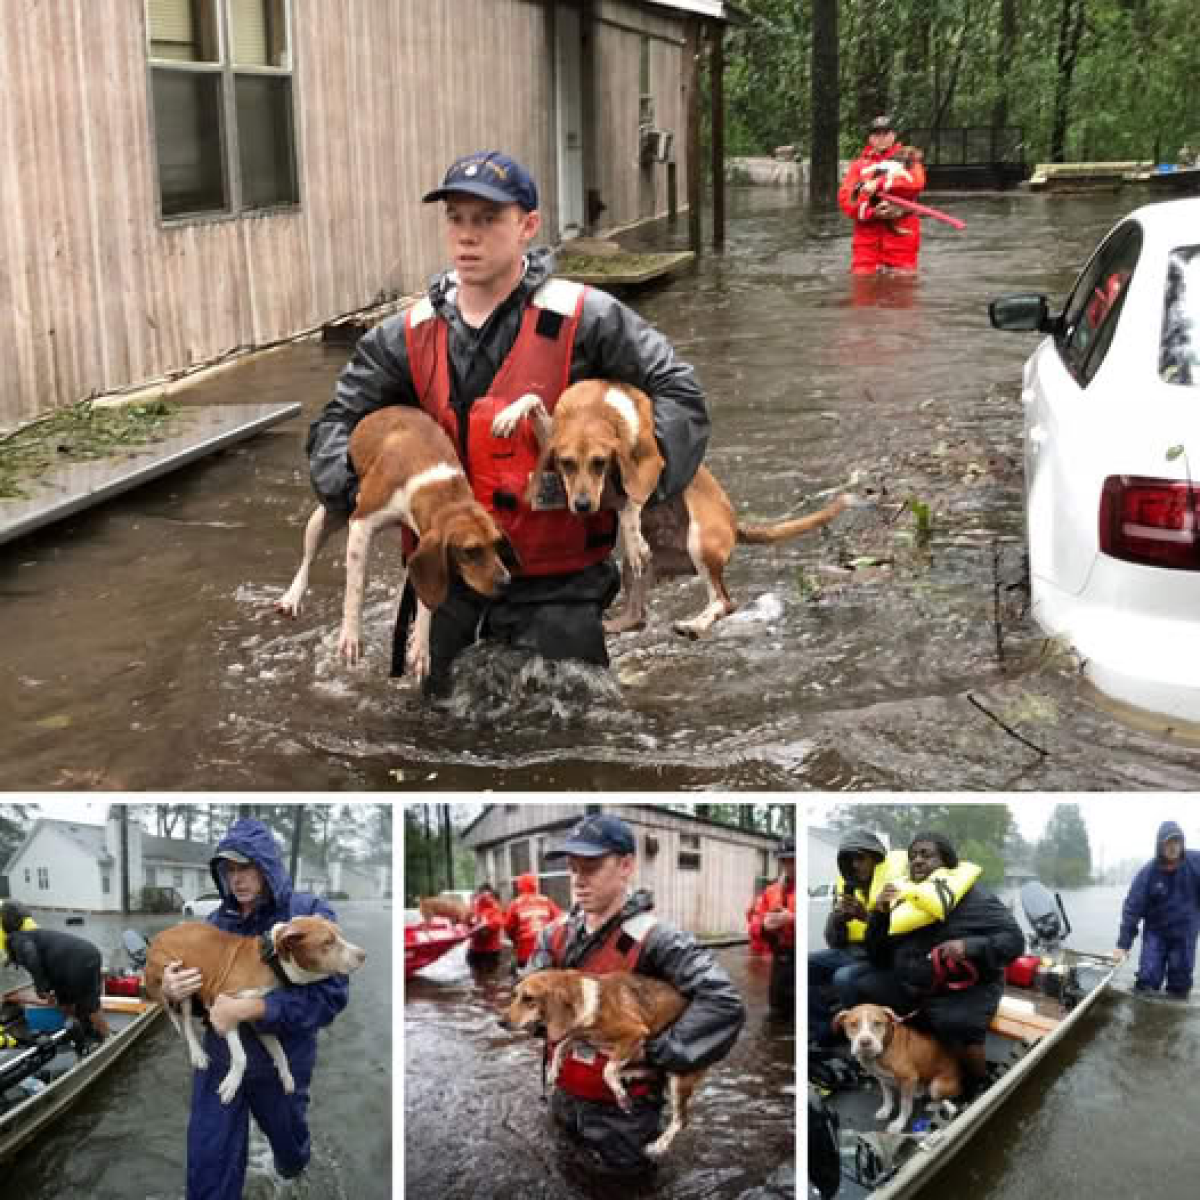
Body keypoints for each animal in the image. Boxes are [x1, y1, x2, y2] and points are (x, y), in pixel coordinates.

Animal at [277, 408, 516, 681]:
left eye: (497, 543)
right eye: (470, 551)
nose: (507, 583)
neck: (436, 485)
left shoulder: (422, 544)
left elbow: (425, 598)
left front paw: (421, 646)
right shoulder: (361, 524)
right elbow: (355, 589)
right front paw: (351, 636)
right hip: (327, 516)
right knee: (308, 559)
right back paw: (292, 596)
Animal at [830, 1003, 960, 1132]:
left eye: (877, 1023)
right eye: (853, 1024)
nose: (865, 1042)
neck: (884, 1048)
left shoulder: (908, 1078)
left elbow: (905, 1105)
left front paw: (899, 1123)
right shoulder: (882, 1078)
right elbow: (887, 1097)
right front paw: (885, 1111)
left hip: (937, 1086)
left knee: (945, 1099)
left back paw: (932, 1105)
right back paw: (918, 1091)